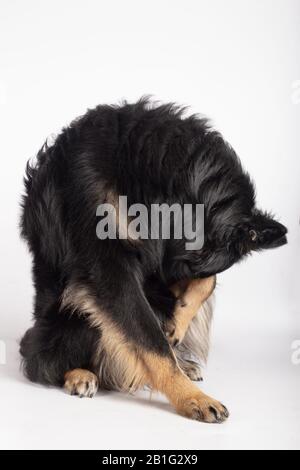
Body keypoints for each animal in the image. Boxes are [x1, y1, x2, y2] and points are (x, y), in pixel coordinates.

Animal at [19, 98, 288, 422]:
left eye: (193, 265)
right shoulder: (111, 269)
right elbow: (150, 339)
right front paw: (192, 398)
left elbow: (205, 284)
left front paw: (177, 325)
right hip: (68, 318)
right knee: (41, 361)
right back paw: (79, 374)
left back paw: (183, 359)